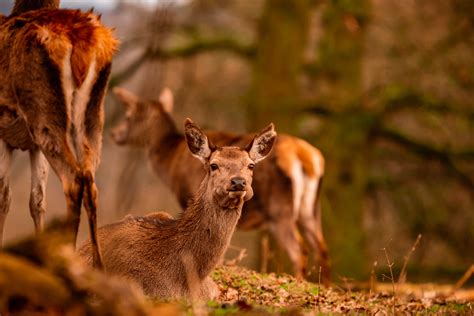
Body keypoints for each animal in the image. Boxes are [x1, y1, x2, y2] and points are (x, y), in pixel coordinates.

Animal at [0, 0, 118, 268]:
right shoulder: (30, 146)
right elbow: (36, 199)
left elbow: (4, 197)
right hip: (93, 114)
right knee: (90, 180)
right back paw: (99, 266)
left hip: (43, 112)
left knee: (73, 179)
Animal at [110, 87, 330, 284]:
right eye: (214, 165)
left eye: (128, 116)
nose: (114, 134)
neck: (170, 162)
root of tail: (307, 158)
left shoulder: (186, 194)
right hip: (311, 210)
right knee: (322, 248)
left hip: (279, 209)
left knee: (299, 249)